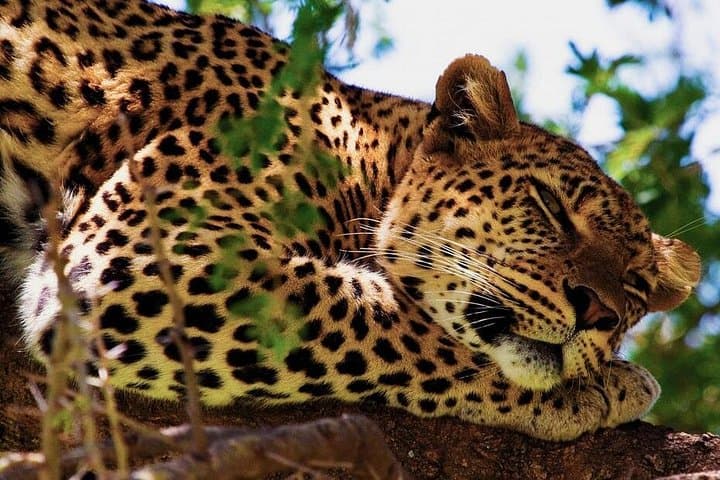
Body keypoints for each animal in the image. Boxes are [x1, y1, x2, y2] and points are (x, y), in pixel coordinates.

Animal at [0, 0, 701, 441]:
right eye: (550, 207)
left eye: (636, 287)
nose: (599, 313)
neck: (364, 157)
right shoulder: (149, 251)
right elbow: (389, 322)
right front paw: (597, 390)